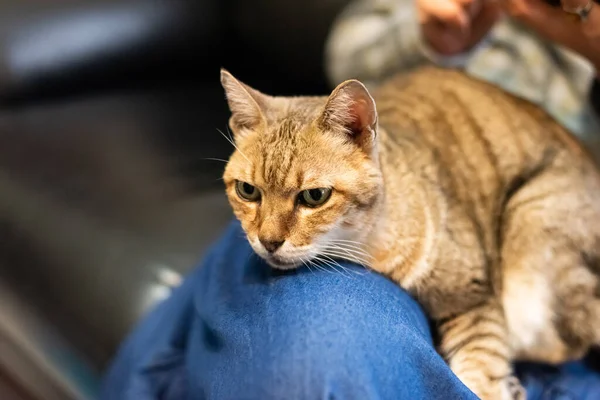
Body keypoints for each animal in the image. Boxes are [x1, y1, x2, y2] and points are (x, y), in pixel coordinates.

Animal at [218, 66, 600, 400]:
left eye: (314, 196)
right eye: (247, 191)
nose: (268, 242)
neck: (368, 244)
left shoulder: (473, 295)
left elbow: (483, 363)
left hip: (531, 222)